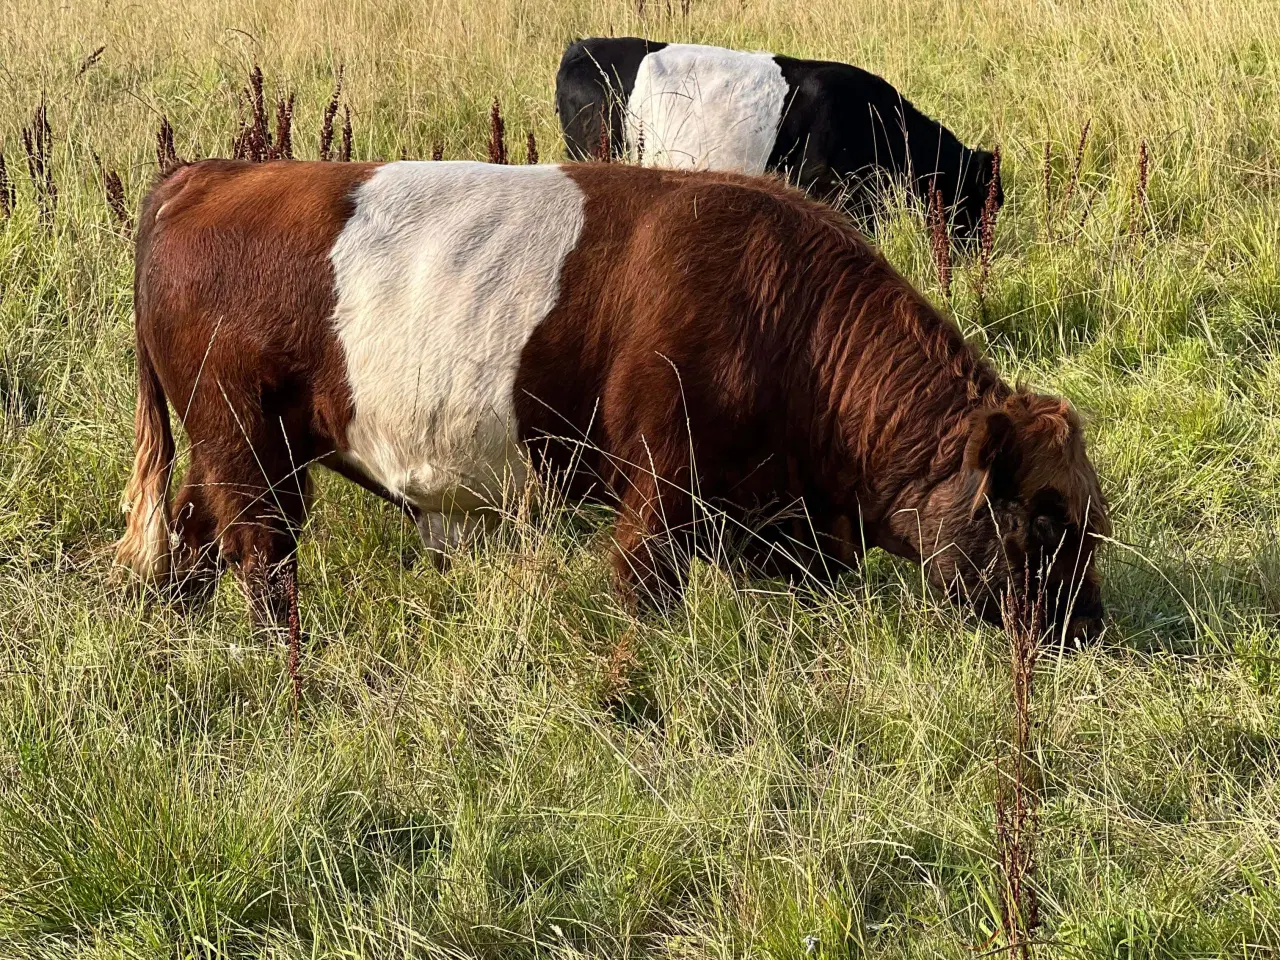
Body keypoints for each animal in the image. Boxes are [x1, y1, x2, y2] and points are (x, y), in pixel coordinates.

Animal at [112, 160, 1111, 640]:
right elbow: (643, 595)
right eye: (1045, 518)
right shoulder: (659, 497)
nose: (1085, 629)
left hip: (235, 449)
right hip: (250, 448)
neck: (782, 310)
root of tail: (207, 175)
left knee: (198, 531)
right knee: (260, 554)